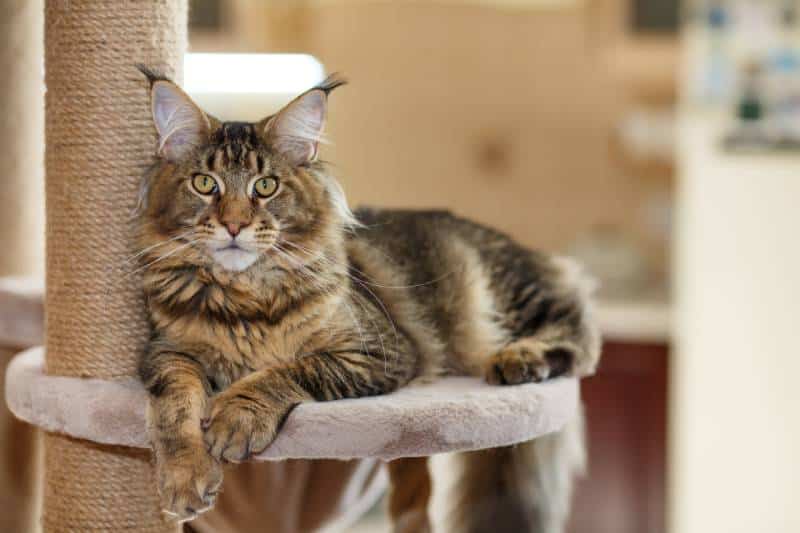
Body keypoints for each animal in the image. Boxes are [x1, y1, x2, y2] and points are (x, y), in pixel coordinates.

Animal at [138, 67, 600, 532]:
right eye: (205, 184)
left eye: (265, 186)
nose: (234, 225)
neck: (244, 299)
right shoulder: (167, 352)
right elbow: (175, 407)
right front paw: (185, 478)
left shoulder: (378, 351)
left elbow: (287, 371)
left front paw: (237, 416)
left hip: (507, 294)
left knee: (580, 332)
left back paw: (520, 359)